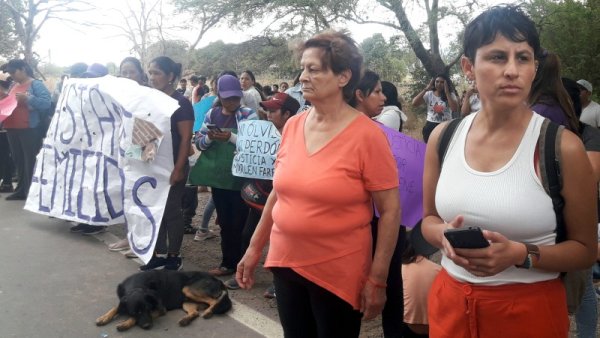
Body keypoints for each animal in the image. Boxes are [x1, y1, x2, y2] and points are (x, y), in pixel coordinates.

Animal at [96, 270, 232, 332]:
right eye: (134, 312)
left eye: (148, 309)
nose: (148, 326)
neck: (135, 287)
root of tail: (218, 281)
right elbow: (116, 308)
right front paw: (104, 317)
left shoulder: (160, 309)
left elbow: (134, 318)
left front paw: (126, 323)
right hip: (186, 301)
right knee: (195, 313)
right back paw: (185, 320)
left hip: (187, 289)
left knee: (214, 301)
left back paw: (209, 312)